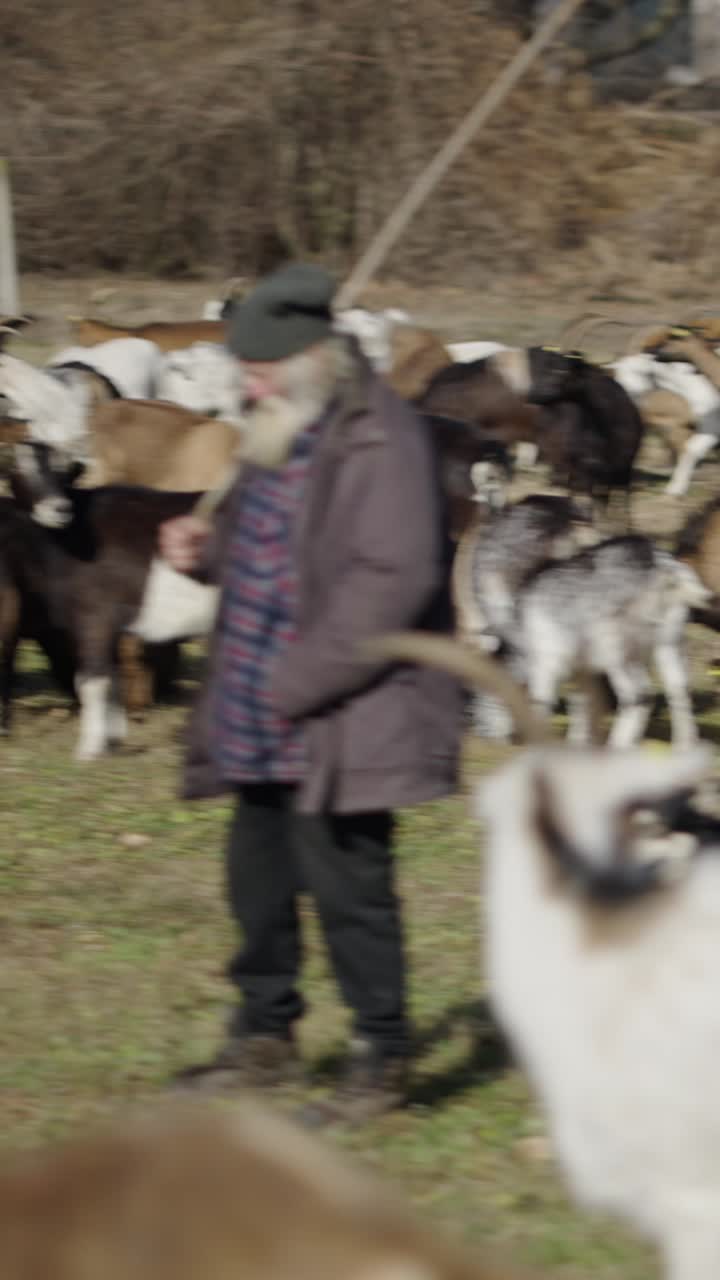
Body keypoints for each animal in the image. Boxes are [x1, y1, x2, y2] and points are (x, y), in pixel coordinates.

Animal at [4, 442, 218, 759]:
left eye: (63, 469)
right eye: (18, 467)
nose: (59, 508)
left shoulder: (93, 614)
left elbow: (91, 680)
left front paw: (88, 750)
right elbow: (112, 678)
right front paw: (113, 739)